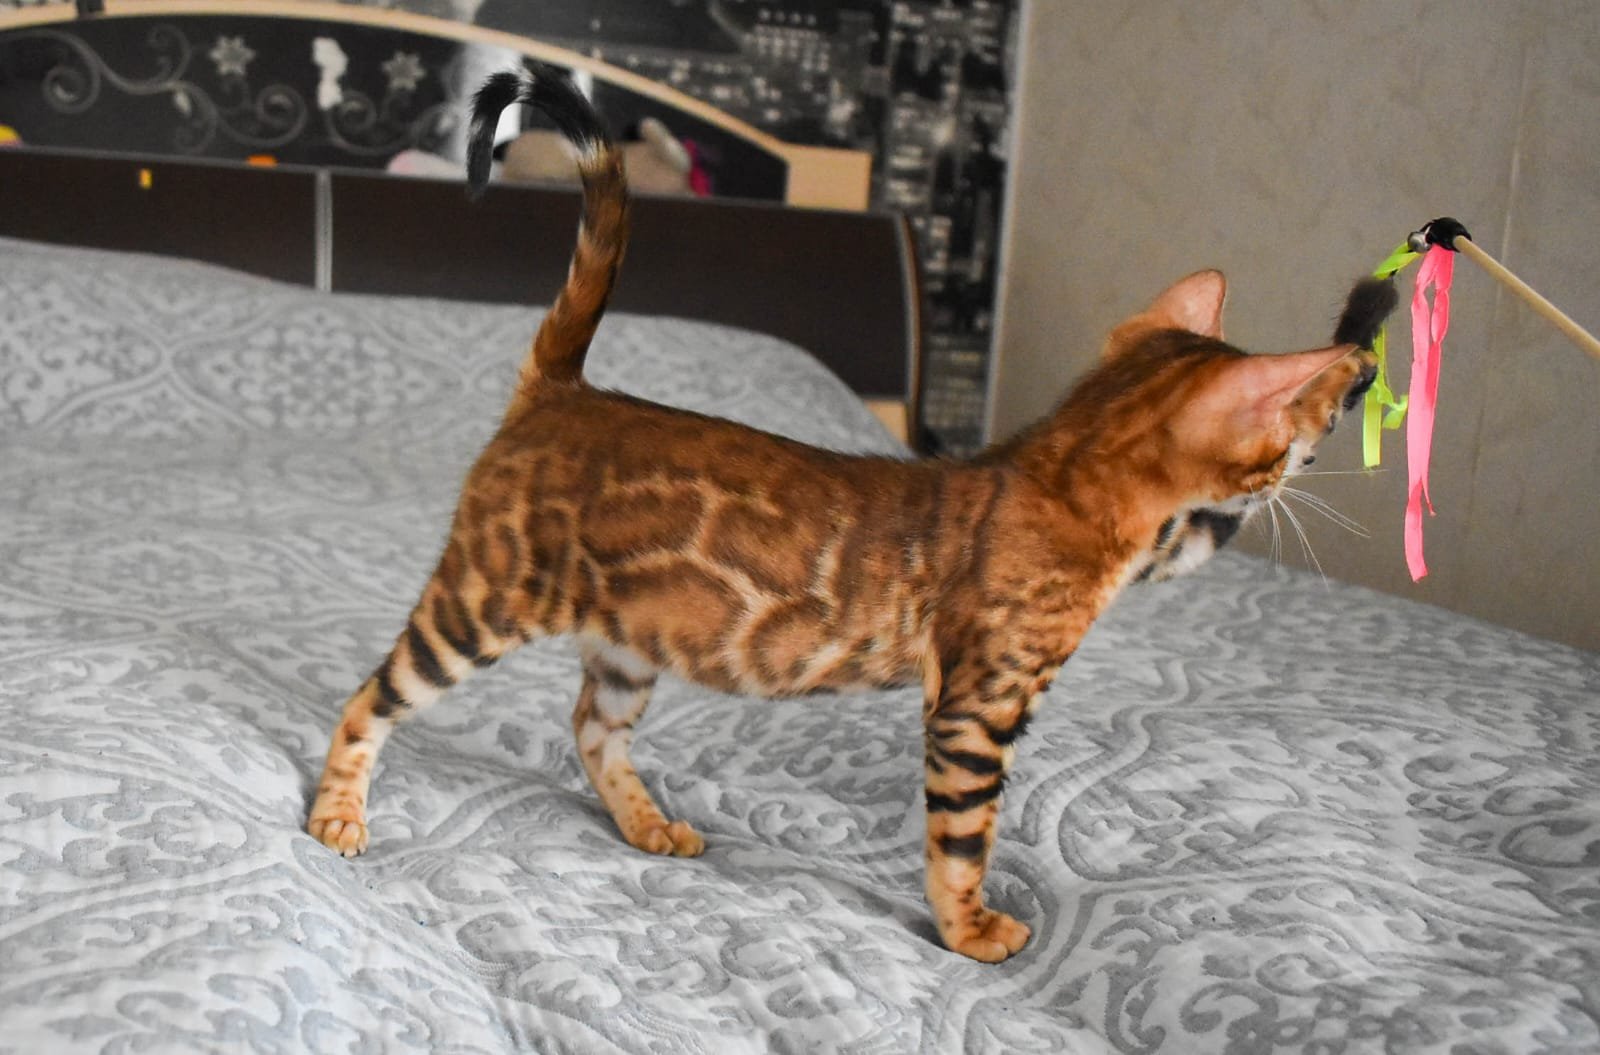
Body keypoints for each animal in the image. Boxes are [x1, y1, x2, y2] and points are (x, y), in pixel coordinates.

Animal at [308, 63, 1392, 963]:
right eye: (1279, 446)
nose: (1294, 467)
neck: (1055, 463)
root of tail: (566, 388)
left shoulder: (1153, 552)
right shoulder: (978, 704)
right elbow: (962, 837)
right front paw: (969, 929)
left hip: (628, 638)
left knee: (590, 727)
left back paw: (647, 822)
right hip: (486, 596)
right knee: (373, 694)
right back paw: (338, 812)